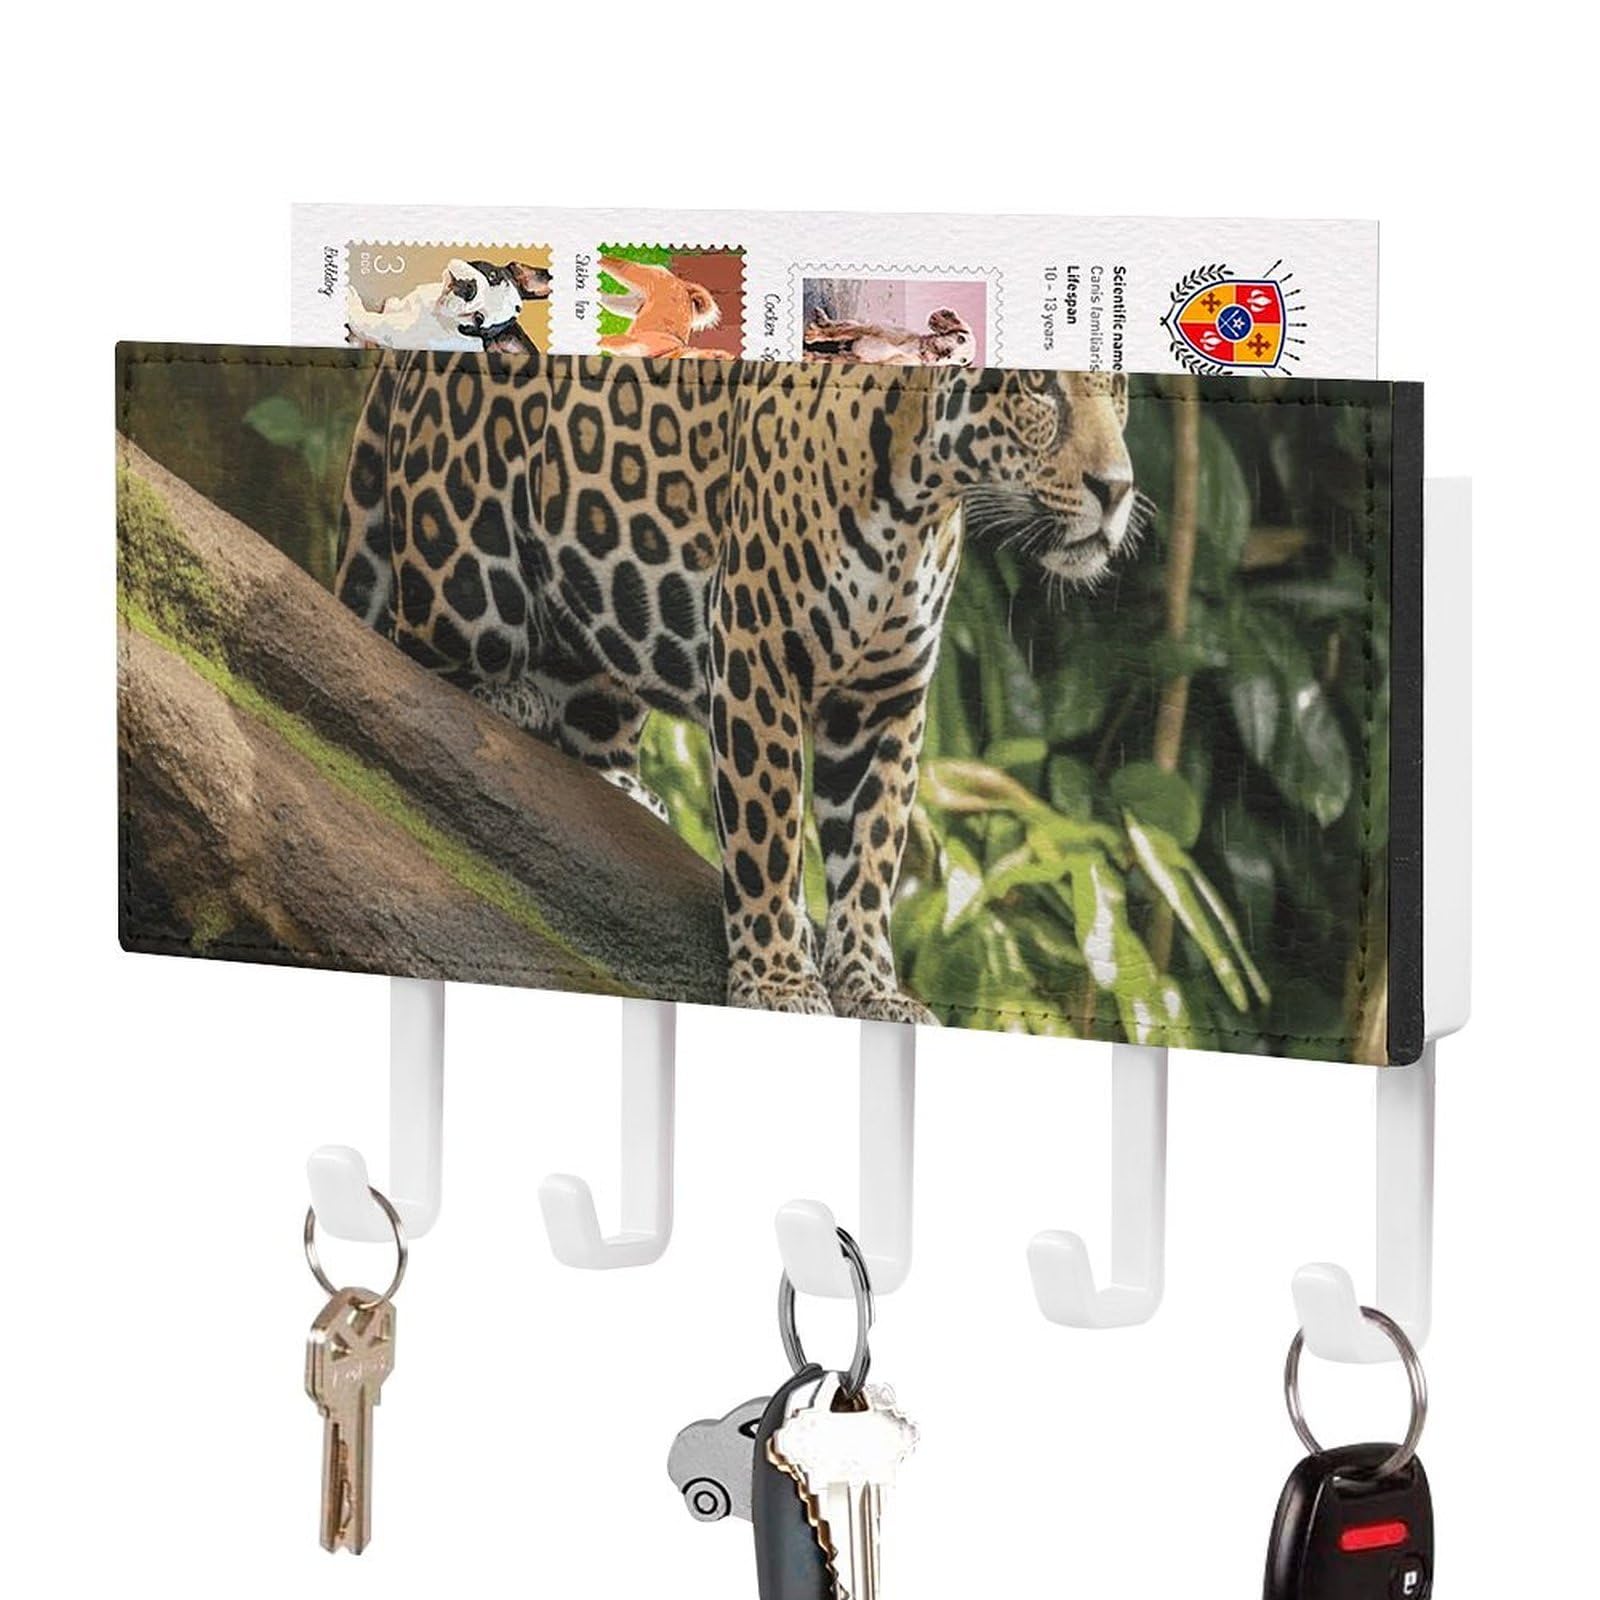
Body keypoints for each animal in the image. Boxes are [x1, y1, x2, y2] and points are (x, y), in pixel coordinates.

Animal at [335, 350, 1139, 1023]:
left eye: (1117, 388)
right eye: (1037, 387)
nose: (1117, 489)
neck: (917, 508)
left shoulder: (885, 701)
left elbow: (872, 852)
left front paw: (871, 988)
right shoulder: (760, 656)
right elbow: (770, 830)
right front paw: (780, 981)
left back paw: (628, 791)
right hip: (471, 577)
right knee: (405, 654)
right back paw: (508, 700)